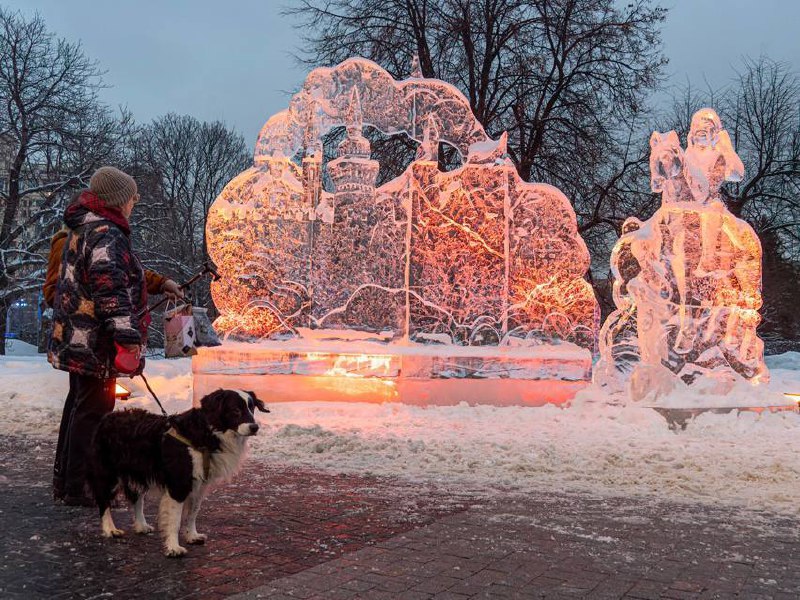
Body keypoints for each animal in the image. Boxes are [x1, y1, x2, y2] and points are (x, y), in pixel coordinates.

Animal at [88, 390, 268, 556]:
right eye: (235, 410)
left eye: (252, 408)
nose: (255, 427)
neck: (206, 433)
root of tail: (107, 418)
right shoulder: (179, 484)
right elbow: (174, 520)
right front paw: (174, 548)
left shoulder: (199, 484)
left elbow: (193, 513)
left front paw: (192, 535)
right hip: (109, 474)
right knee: (104, 501)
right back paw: (110, 529)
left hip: (140, 472)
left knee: (137, 498)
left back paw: (141, 525)